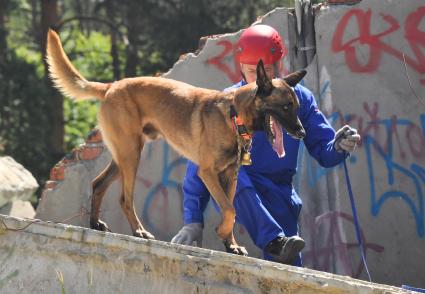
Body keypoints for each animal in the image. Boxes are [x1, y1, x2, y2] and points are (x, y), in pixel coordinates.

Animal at [45, 29, 304, 255]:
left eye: (297, 106)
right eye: (285, 107)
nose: (302, 132)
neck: (234, 114)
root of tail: (112, 86)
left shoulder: (231, 177)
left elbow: (229, 209)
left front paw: (230, 244)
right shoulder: (207, 173)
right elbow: (229, 210)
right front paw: (222, 233)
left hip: (124, 155)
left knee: (98, 183)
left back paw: (95, 224)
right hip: (131, 155)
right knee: (124, 198)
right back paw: (139, 231)